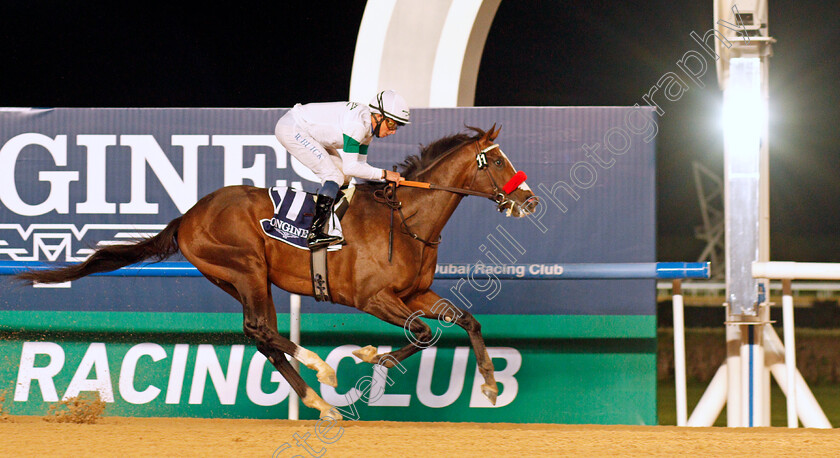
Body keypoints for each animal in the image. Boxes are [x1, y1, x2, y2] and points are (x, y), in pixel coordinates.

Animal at [18, 124, 540, 418]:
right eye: (495, 159)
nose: (530, 200)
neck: (407, 220)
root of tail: (187, 216)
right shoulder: (373, 298)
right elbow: (423, 334)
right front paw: (371, 359)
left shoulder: (416, 295)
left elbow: (465, 320)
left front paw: (491, 383)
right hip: (245, 266)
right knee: (260, 330)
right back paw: (323, 373)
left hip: (242, 279)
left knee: (262, 335)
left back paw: (320, 405)